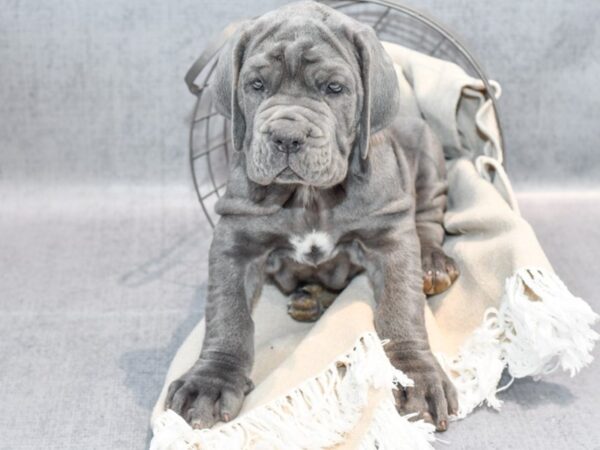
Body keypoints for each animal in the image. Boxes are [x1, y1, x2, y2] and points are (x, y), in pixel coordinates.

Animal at [168, 0, 460, 434]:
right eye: (256, 85)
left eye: (333, 88)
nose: (287, 136)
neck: (309, 196)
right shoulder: (234, 240)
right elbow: (227, 313)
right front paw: (210, 381)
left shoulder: (389, 237)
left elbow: (400, 310)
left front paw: (416, 376)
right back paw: (311, 299)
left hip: (426, 153)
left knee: (427, 218)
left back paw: (432, 264)